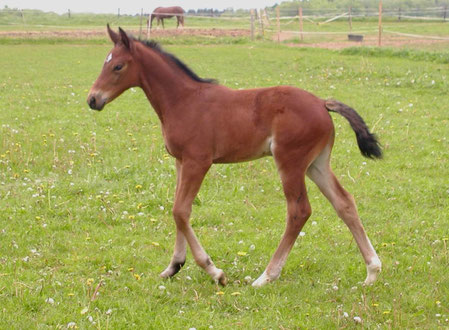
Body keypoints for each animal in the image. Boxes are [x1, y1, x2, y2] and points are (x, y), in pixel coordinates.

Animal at [86, 25, 382, 288]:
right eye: (104, 63)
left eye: (118, 66)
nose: (92, 99)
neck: (183, 100)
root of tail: (322, 103)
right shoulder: (181, 162)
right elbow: (177, 210)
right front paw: (173, 266)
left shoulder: (198, 161)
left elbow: (181, 210)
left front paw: (214, 271)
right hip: (316, 164)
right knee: (344, 203)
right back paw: (372, 271)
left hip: (290, 162)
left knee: (299, 211)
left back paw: (267, 276)